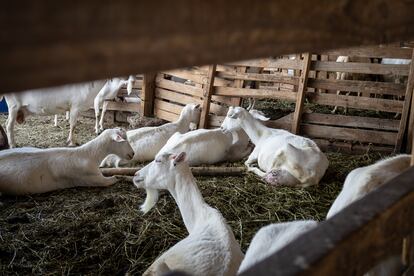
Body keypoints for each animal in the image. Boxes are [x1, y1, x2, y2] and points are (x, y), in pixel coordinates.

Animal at [0, 128, 133, 195]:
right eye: (124, 139)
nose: (132, 154)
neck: (89, 155)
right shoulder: (94, 178)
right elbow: (113, 179)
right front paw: (120, 177)